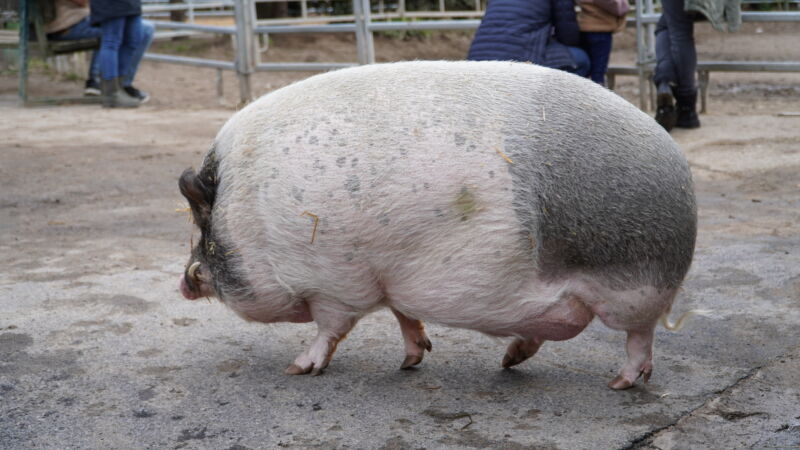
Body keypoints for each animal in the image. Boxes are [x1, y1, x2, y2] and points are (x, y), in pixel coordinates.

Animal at [178, 60, 697, 390]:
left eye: (204, 227)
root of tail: (679, 168)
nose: (184, 281)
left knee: (640, 338)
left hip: (633, 287)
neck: (253, 220)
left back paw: (618, 385)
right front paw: (411, 361)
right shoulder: (386, 280)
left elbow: (331, 329)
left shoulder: (336, 283)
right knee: (545, 330)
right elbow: (403, 315)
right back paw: (508, 362)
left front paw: (296, 369)